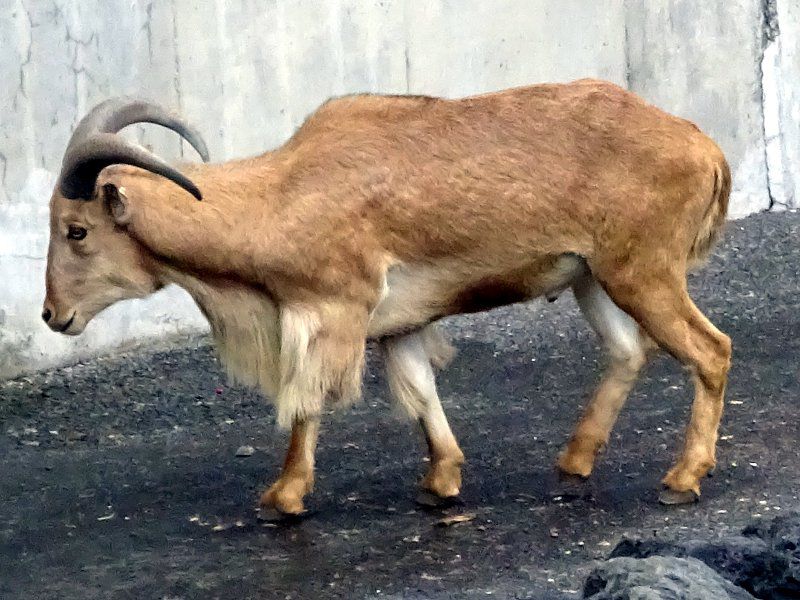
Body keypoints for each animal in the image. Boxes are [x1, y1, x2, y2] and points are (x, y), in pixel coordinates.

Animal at [43, 79, 731, 517]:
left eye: (77, 230)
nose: (54, 316)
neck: (281, 198)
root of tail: (706, 148)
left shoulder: (333, 311)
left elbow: (307, 403)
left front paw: (283, 498)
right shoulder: (398, 325)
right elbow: (421, 392)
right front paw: (440, 483)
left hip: (643, 272)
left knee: (711, 350)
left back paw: (681, 479)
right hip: (593, 277)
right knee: (627, 352)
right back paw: (573, 463)